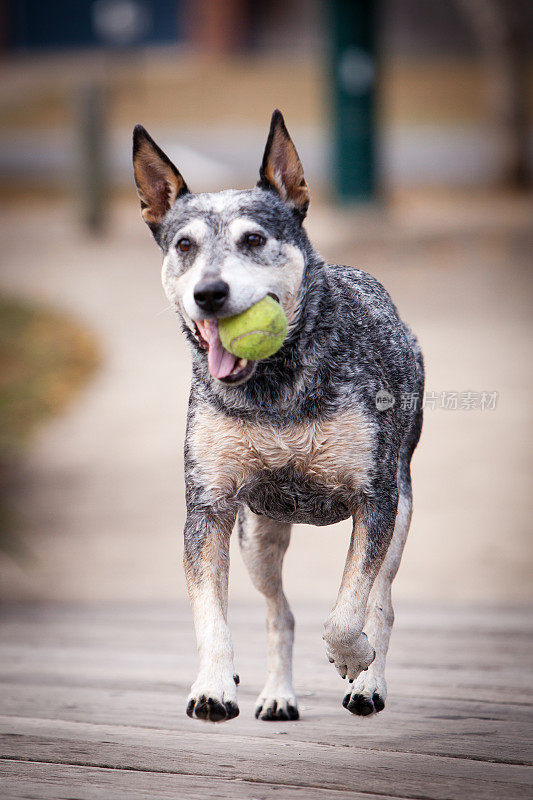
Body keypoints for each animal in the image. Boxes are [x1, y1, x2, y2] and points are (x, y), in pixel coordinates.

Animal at [132, 111, 424, 724]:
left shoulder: (375, 499)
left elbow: (348, 611)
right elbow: (210, 613)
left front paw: (353, 658)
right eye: (185, 244)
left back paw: (370, 684)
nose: (209, 292)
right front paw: (213, 685)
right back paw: (278, 694)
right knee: (279, 611)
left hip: (403, 511)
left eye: (253, 239)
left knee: (382, 601)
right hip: (258, 537)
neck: (274, 390)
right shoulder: (210, 507)